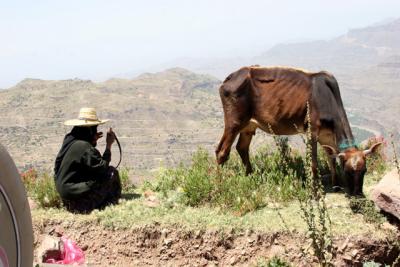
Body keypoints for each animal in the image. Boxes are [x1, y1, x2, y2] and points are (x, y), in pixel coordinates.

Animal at [216, 66, 382, 196]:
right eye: (348, 171)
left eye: (364, 170)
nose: (358, 193)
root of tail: (232, 76)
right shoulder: (311, 131)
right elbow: (314, 164)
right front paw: (315, 191)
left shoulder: (327, 137)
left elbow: (331, 159)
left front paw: (336, 185)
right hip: (233, 122)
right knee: (222, 151)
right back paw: (219, 183)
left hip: (249, 126)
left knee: (242, 148)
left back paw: (251, 176)